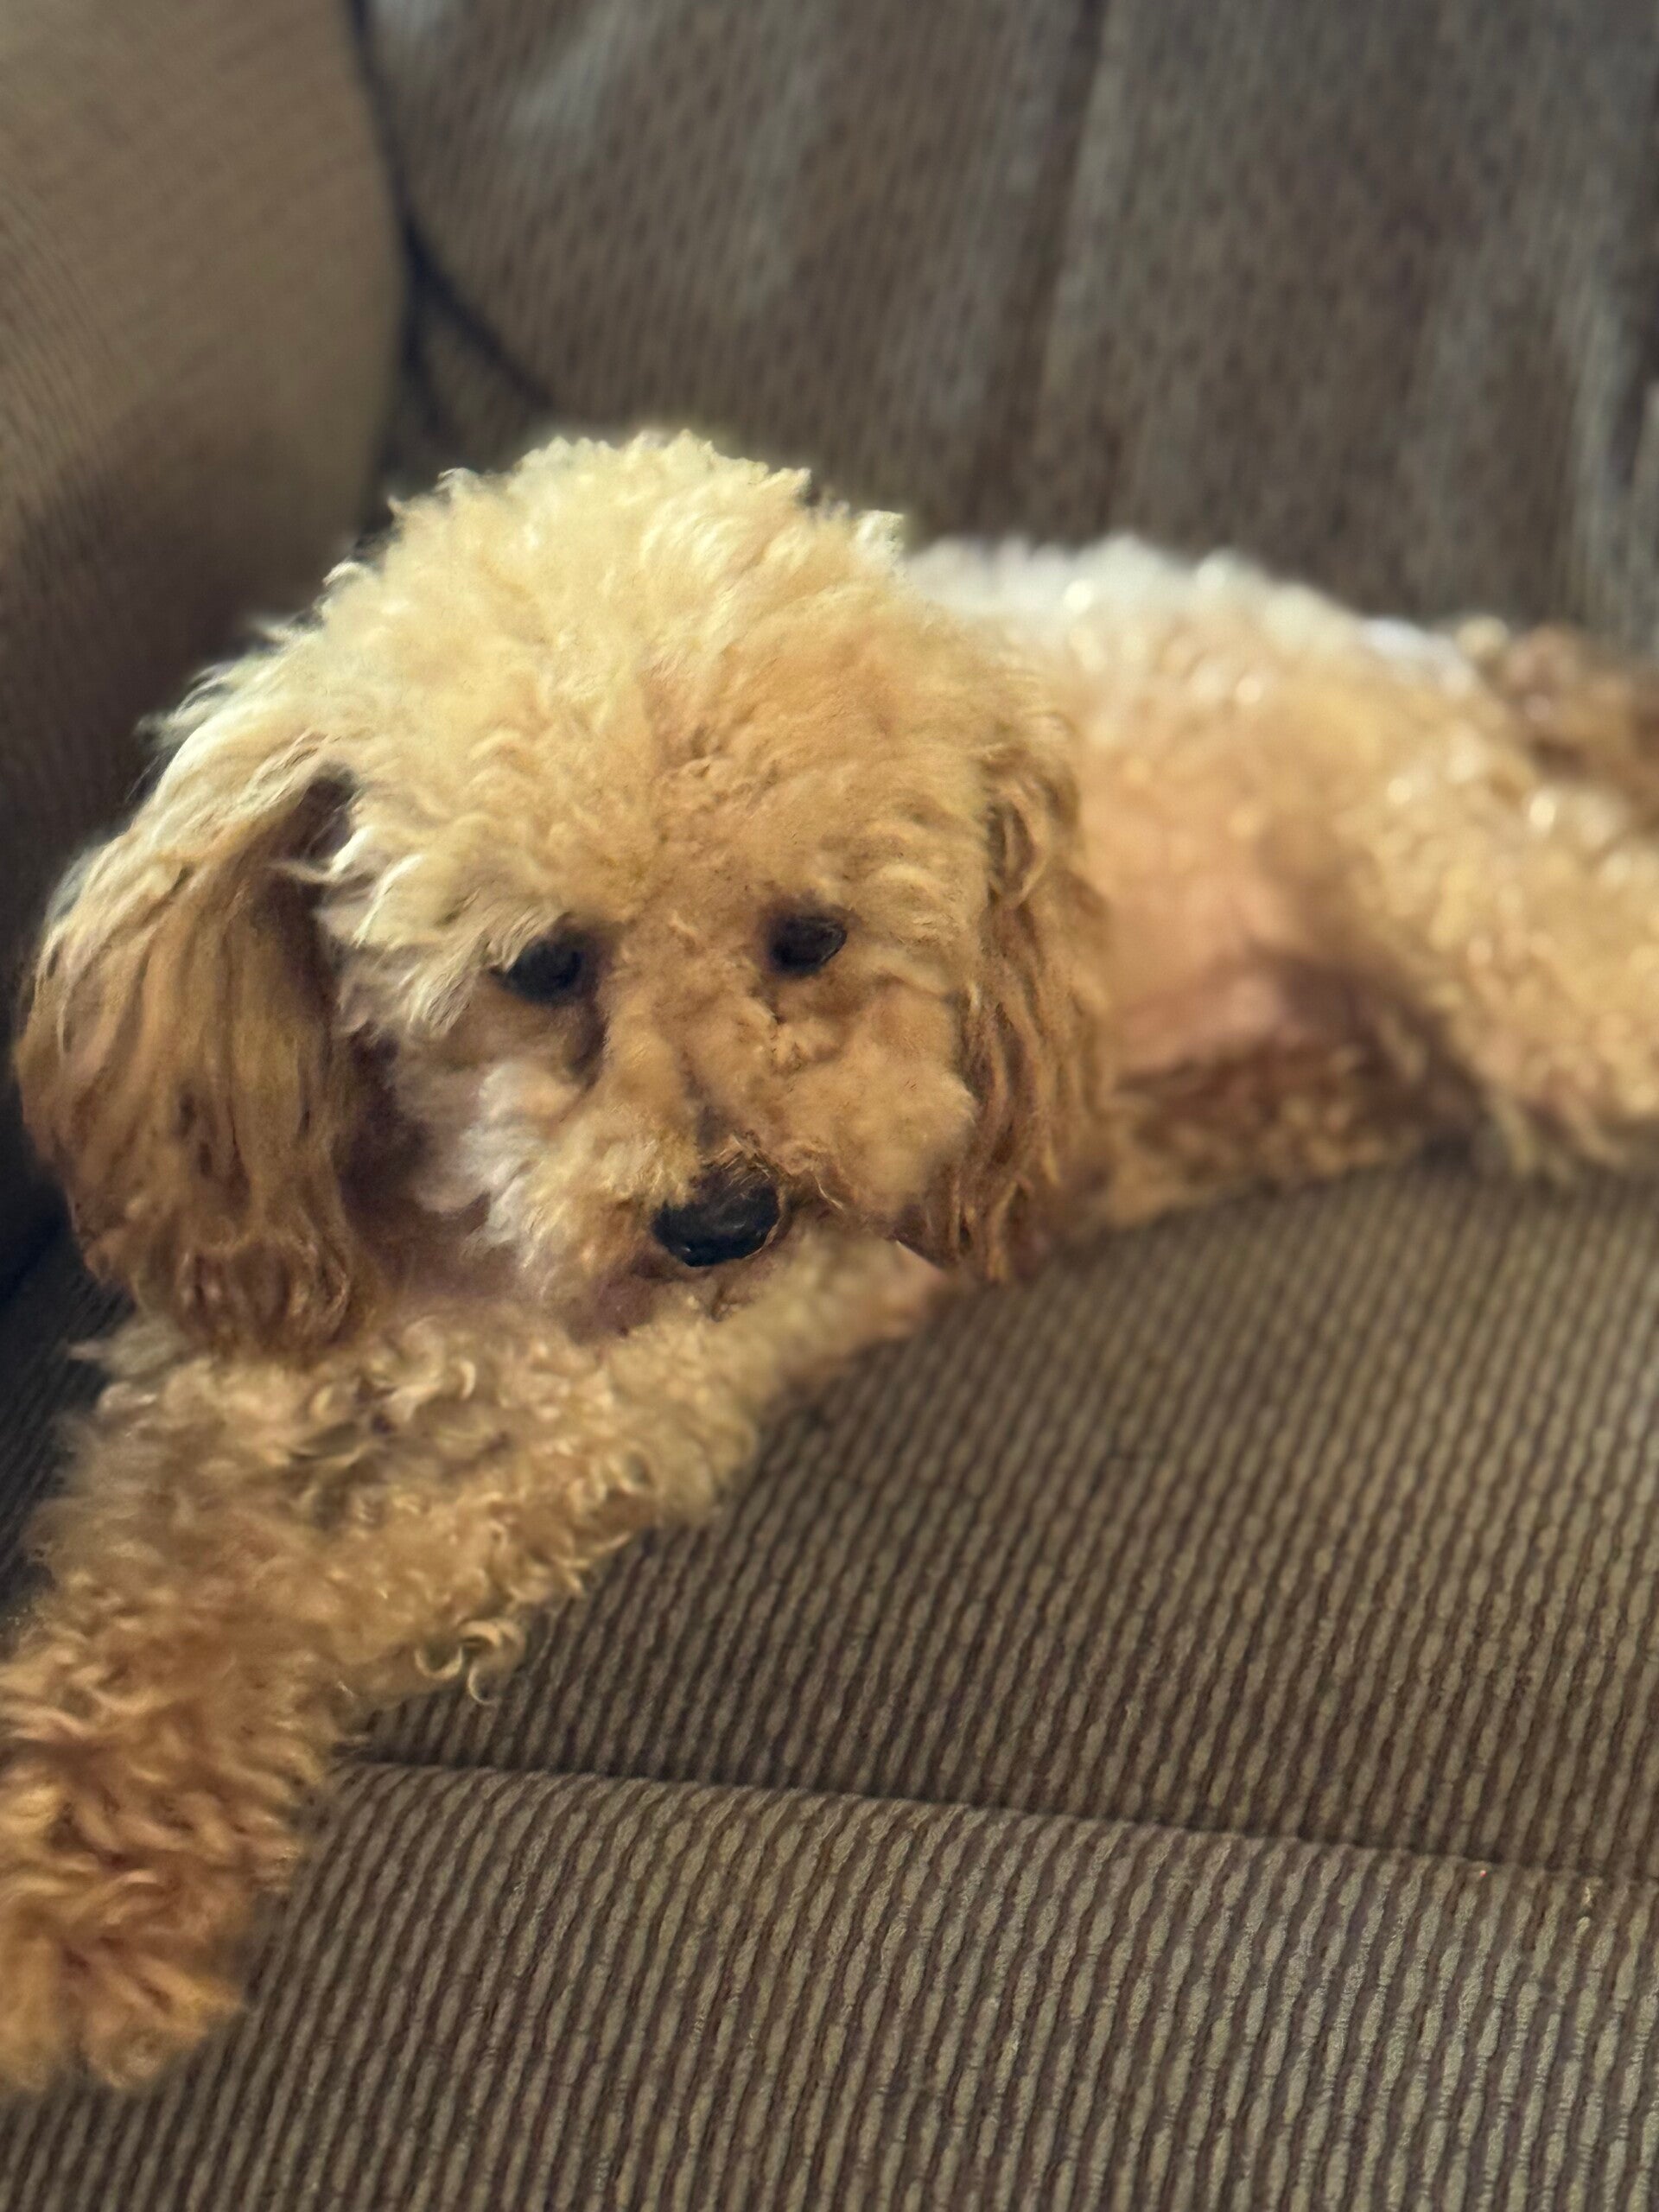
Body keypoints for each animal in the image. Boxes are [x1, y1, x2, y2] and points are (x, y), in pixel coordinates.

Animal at [4, 430, 1659, 2093]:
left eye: (811, 936)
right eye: (539, 965)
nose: (726, 1225)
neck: (469, 1259)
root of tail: (1441, 660)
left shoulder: (603, 1438)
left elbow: (313, 1594)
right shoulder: (206, 1400)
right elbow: (156, 1597)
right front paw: (74, 1866)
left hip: (1512, 954)